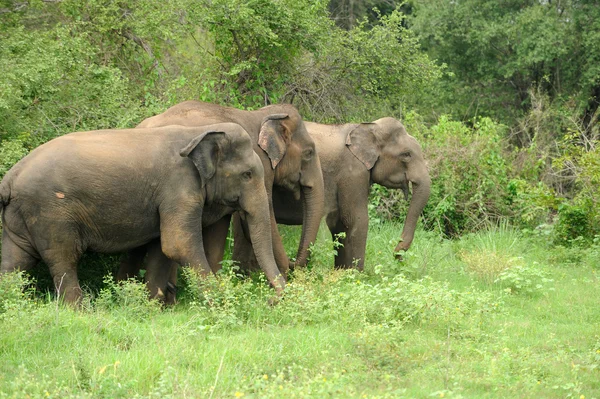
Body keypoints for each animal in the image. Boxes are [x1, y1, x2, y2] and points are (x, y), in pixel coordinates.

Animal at [0, 123, 286, 304]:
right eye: (247, 174)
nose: (271, 300)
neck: (198, 132)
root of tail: (9, 178)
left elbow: (162, 248)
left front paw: (152, 307)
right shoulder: (178, 187)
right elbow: (178, 244)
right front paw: (223, 301)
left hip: (21, 216)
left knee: (15, 260)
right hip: (50, 213)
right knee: (63, 259)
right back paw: (80, 311)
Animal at [236, 117, 432, 270]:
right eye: (406, 155)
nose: (396, 252)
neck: (368, 127)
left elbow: (338, 223)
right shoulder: (353, 172)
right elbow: (356, 220)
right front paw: (355, 277)